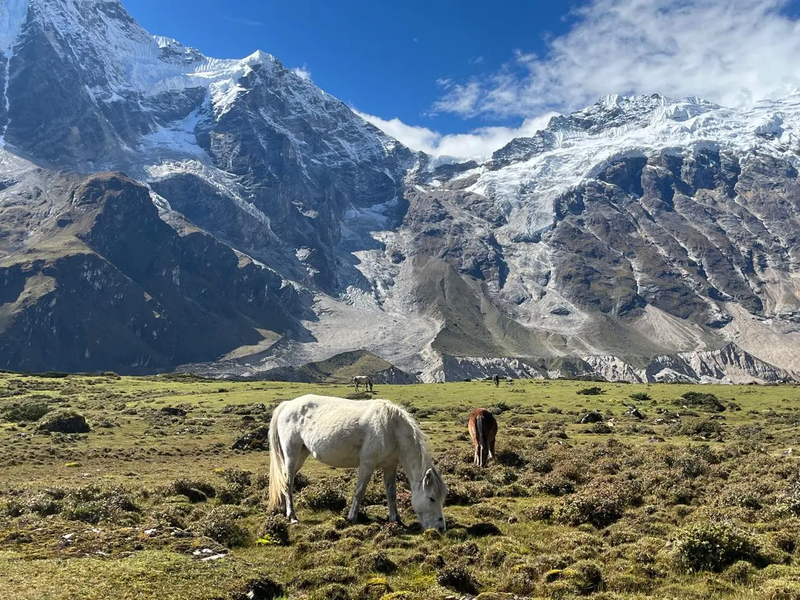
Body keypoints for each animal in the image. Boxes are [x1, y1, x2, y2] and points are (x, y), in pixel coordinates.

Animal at [268, 394, 447, 530]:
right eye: (431, 498)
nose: (440, 528)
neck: (391, 428)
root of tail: (287, 405)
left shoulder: (390, 465)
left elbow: (391, 493)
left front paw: (395, 519)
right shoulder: (367, 464)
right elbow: (359, 491)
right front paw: (351, 517)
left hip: (301, 455)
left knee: (285, 480)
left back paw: (283, 510)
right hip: (292, 454)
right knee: (288, 482)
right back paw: (292, 516)